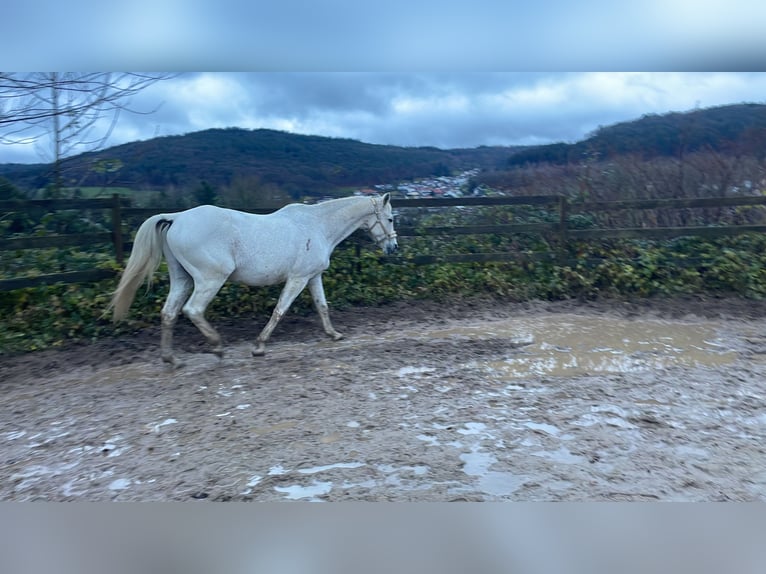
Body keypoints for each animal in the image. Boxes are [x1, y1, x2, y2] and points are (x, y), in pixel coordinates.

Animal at [109, 194, 397, 367]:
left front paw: (334, 334)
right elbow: (280, 310)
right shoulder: (298, 278)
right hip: (210, 279)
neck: (317, 226)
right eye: (391, 218)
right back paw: (217, 348)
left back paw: (172, 359)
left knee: (169, 312)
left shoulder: (312, 276)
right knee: (193, 310)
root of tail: (177, 217)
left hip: (182, 279)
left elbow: (322, 306)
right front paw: (259, 346)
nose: (393, 247)